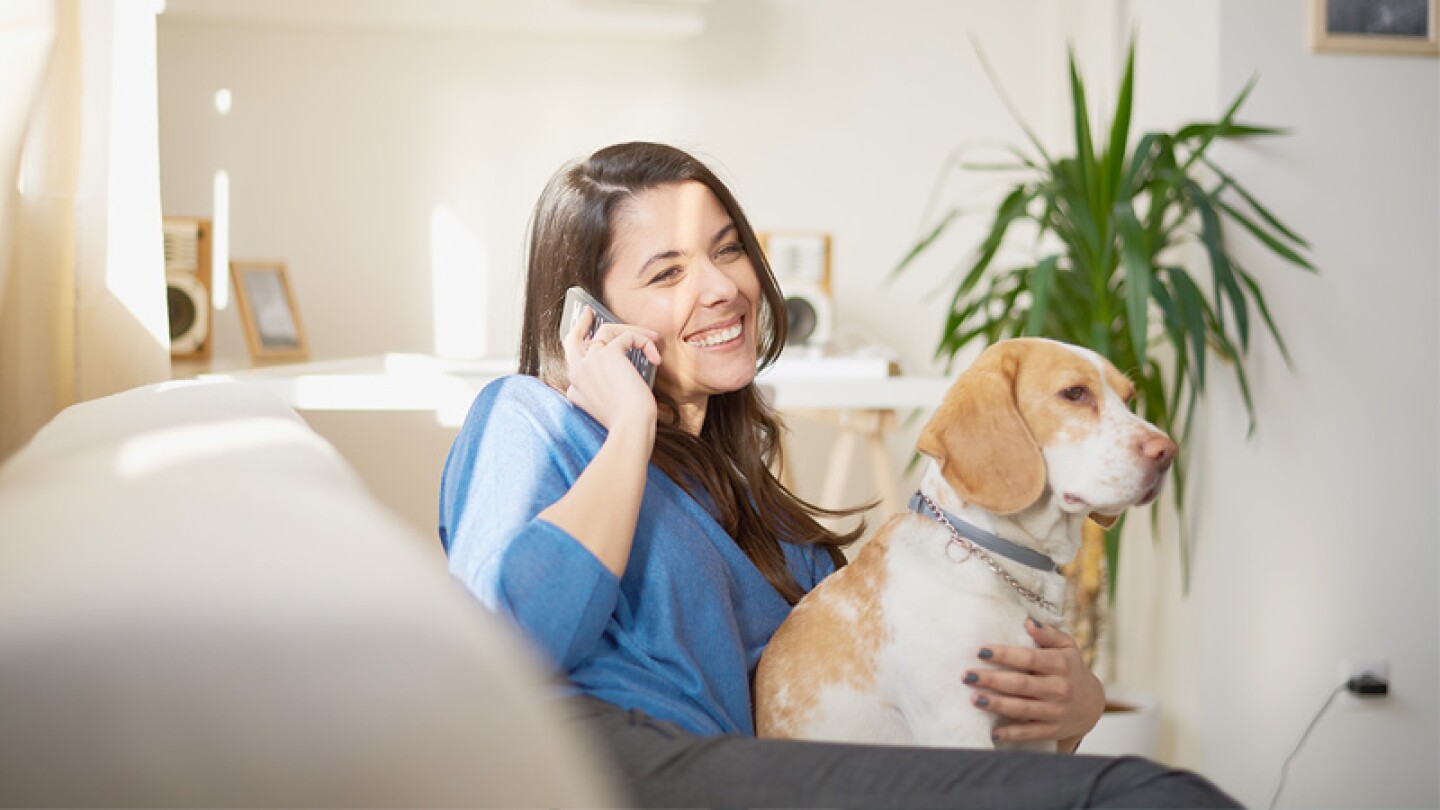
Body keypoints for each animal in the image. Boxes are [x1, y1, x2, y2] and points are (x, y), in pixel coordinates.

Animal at [748, 335, 1175, 749]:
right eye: (1074, 393)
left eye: (1129, 399)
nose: (1168, 451)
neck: (1001, 562)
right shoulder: (957, 725)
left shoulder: (1035, 727)